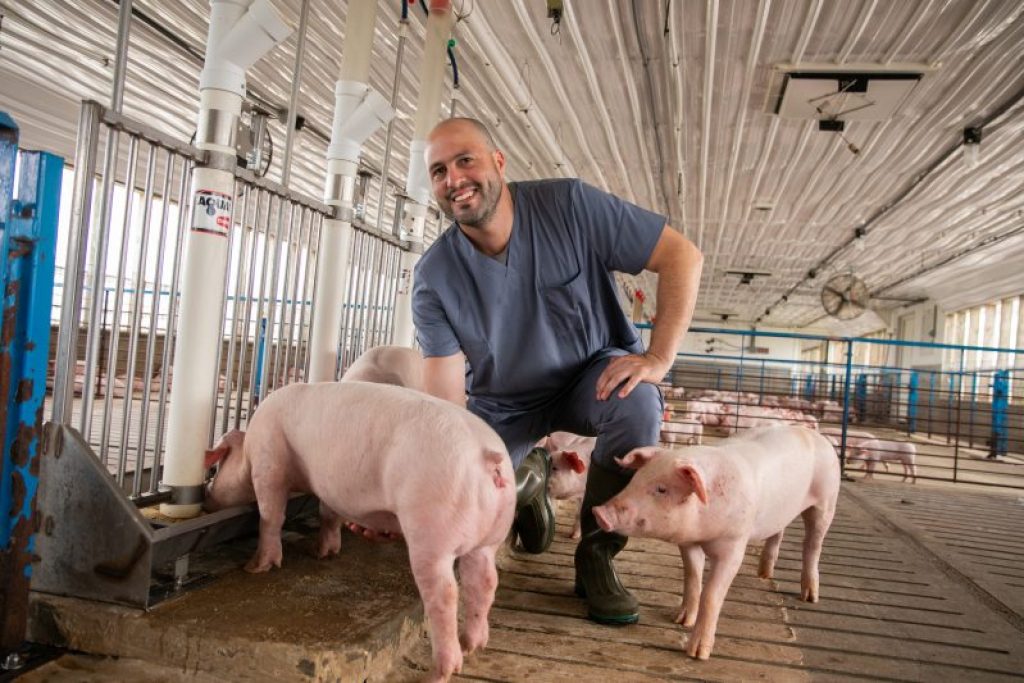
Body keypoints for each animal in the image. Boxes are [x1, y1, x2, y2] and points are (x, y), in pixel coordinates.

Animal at [203, 381, 515, 682]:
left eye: (219, 464)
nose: (207, 498)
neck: (248, 448)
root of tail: (486, 456)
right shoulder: (328, 487)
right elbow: (328, 514)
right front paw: (323, 553)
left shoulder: (269, 462)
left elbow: (271, 514)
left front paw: (255, 568)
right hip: (491, 537)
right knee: (485, 581)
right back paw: (473, 644)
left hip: (432, 530)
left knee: (446, 593)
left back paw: (437, 673)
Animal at [593, 425, 840, 660]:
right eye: (635, 479)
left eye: (662, 489)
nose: (599, 512)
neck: (704, 529)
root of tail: (818, 436)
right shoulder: (688, 542)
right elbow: (692, 578)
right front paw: (680, 620)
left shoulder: (734, 544)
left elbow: (711, 595)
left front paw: (697, 654)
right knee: (777, 533)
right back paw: (764, 574)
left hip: (826, 501)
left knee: (813, 545)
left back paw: (809, 597)